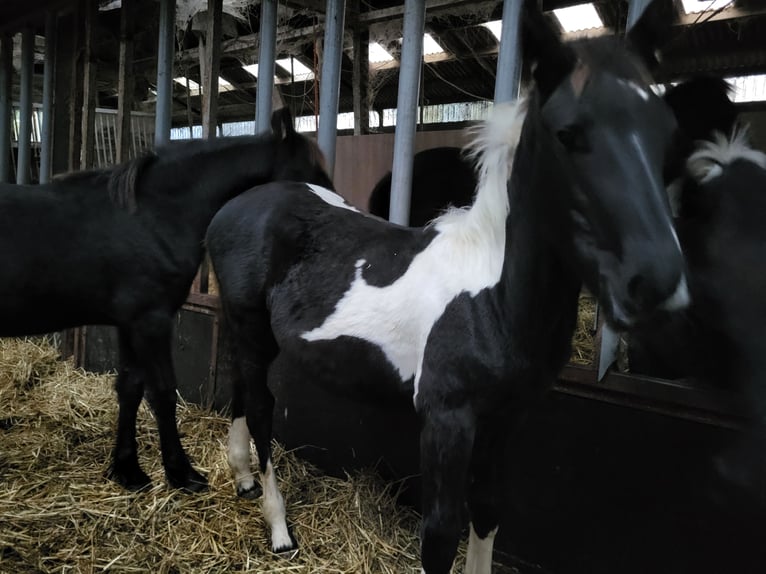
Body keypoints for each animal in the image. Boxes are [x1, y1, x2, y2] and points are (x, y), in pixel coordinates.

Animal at [0, 109, 332, 496]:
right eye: (313, 177)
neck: (153, 217)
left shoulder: (129, 323)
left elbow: (129, 388)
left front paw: (128, 469)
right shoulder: (151, 322)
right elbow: (162, 394)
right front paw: (181, 472)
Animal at [207, 2, 688, 572]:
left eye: (666, 130)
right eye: (567, 133)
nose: (658, 280)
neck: (493, 299)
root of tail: (241, 203)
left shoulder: (505, 419)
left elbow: (488, 509)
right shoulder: (447, 421)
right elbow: (440, 532)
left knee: (242, 389)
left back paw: (242, 479)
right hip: (251, 326)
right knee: (261, 408)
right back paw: (279, 529)